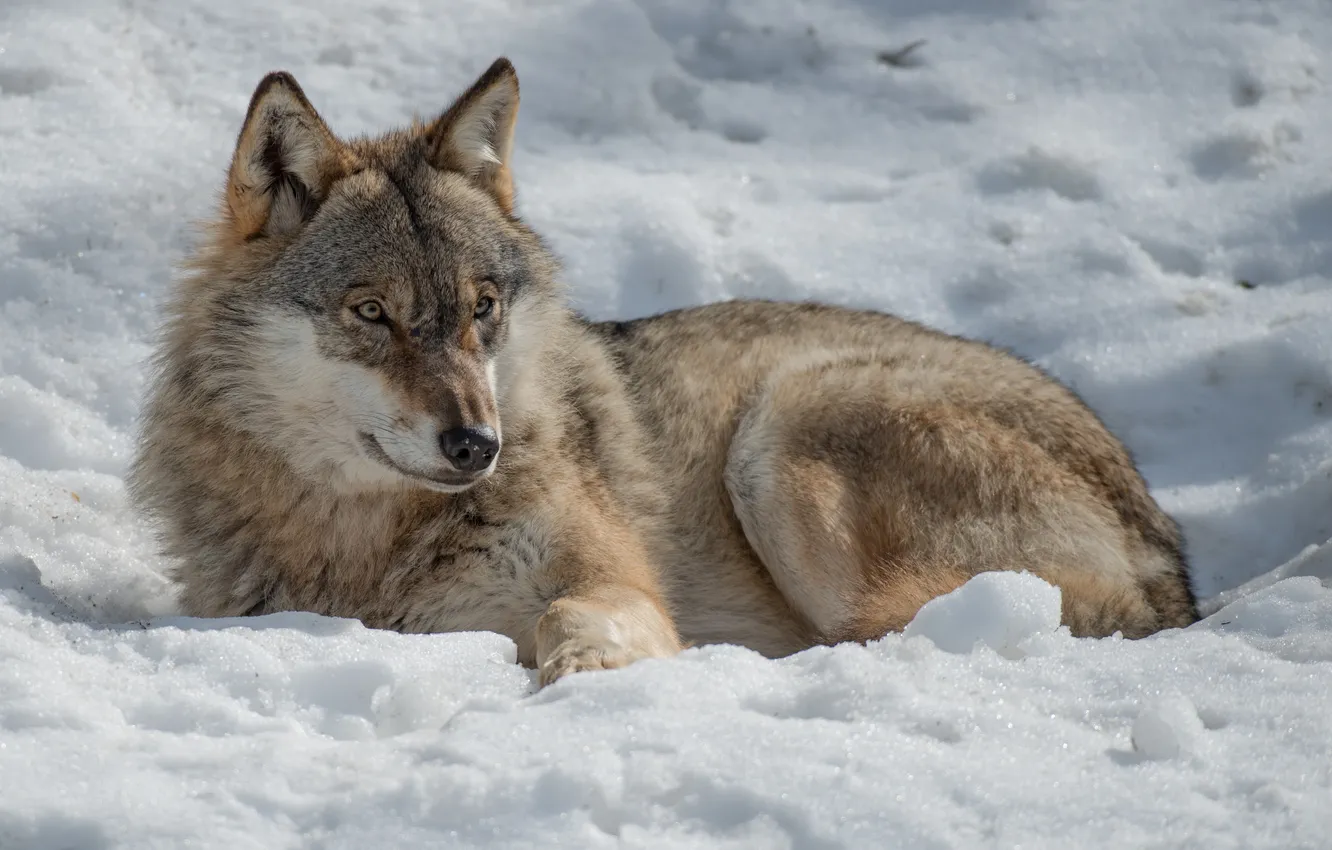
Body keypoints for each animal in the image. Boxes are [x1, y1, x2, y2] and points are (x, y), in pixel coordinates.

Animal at [129, 58, 1198, 685]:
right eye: (372, 314)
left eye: (482, 308)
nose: (477, 445)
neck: (371, 544)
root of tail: (1173, 568)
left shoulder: (614, 581)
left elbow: (576, 612)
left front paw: (585, 675)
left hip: (785, 431)